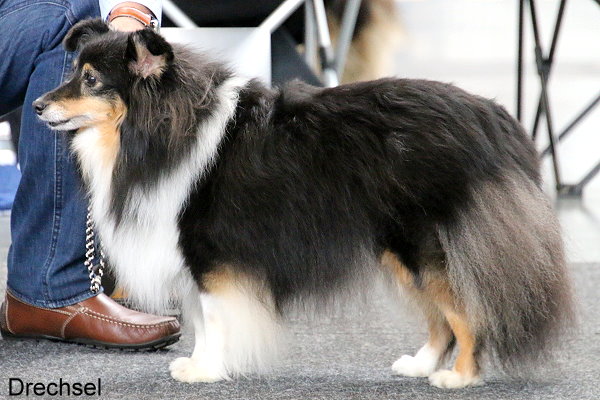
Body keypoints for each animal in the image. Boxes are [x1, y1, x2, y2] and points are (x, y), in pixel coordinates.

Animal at [34, 20, 572, 390]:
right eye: (74, 73)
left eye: (91, 80)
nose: (37, 106)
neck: (160, 130)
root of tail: (496, 118)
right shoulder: (195, 259)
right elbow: (202, 320)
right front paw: (200, 364)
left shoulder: (208, 252)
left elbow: (212, 317)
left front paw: (207, 371)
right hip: (400, 249)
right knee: (442, 314)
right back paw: (420, 364)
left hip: (428, 244)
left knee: (468, 309)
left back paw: (458, 377)